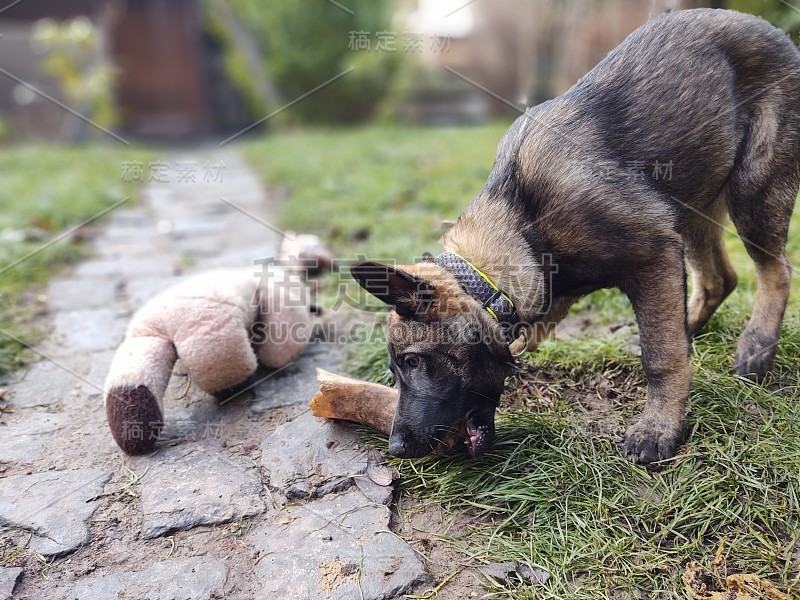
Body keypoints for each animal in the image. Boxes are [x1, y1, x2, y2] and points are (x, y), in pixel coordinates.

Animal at [352, 11, 800, 466]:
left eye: (413, 361)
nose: (397, 448)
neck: (521, 223)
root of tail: (774, 32)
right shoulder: (555, 293)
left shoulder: (654, 255)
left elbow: (661, 356)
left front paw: (658, 427)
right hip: (692, 207)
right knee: (718, 279)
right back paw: (690, 326)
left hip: (753, 189)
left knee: (775, 271)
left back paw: (757, 346)